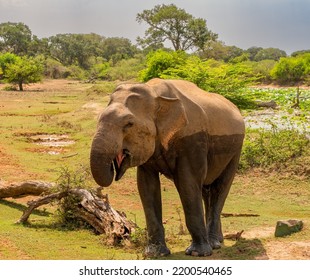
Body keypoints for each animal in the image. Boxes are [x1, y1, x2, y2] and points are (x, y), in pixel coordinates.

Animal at [89, 77, 245, 258]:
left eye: (129, 124)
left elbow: (187, 183)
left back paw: (213, 244)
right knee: (207, 190)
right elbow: (146, 186)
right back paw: (218, 241)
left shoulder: (192, 139)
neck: (155, 93)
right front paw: (155, 254)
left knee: (220, 188)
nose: (114, 167)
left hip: (236, 149)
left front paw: (197, 253)